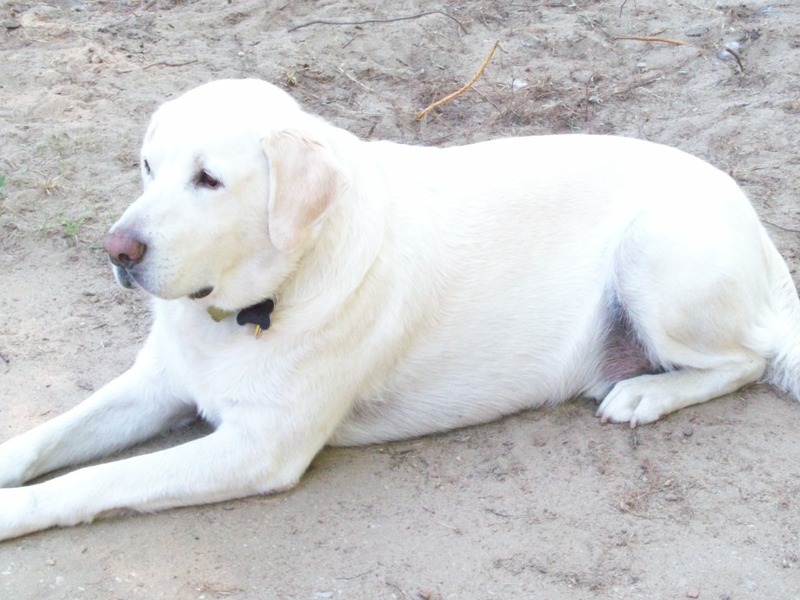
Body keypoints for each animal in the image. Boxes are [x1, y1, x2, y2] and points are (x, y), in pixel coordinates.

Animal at [1, 77, 800, 540]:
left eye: (209, 180)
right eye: (147, 166)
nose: (117, 250)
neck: (253, 304)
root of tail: (761, 233)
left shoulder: (260, 447)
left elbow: (97, 479)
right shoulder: (154, 386)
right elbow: (43, 439)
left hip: (655, 254)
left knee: (748, 358)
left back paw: (645, 393)